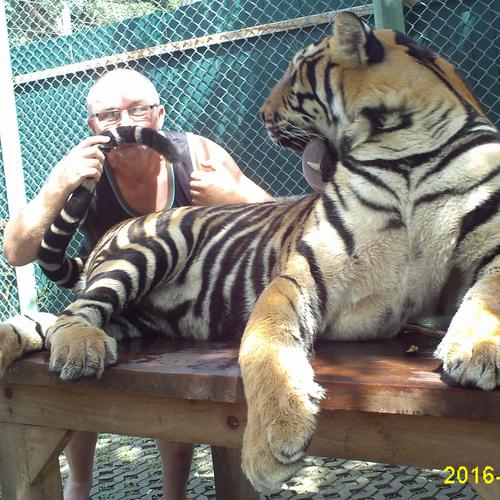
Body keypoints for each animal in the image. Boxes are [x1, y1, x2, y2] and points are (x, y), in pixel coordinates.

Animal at [1, 10, 499, 493]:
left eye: (295, 72)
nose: (262, 113)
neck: (405, 152)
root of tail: (115, 230)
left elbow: (488, 293)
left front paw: (477, 350)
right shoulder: (302, 274)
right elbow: (262, 345)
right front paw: (271, 444)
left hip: (138, 316)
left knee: (45, 321)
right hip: (147, 251)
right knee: (71, 315)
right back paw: (79, 349)